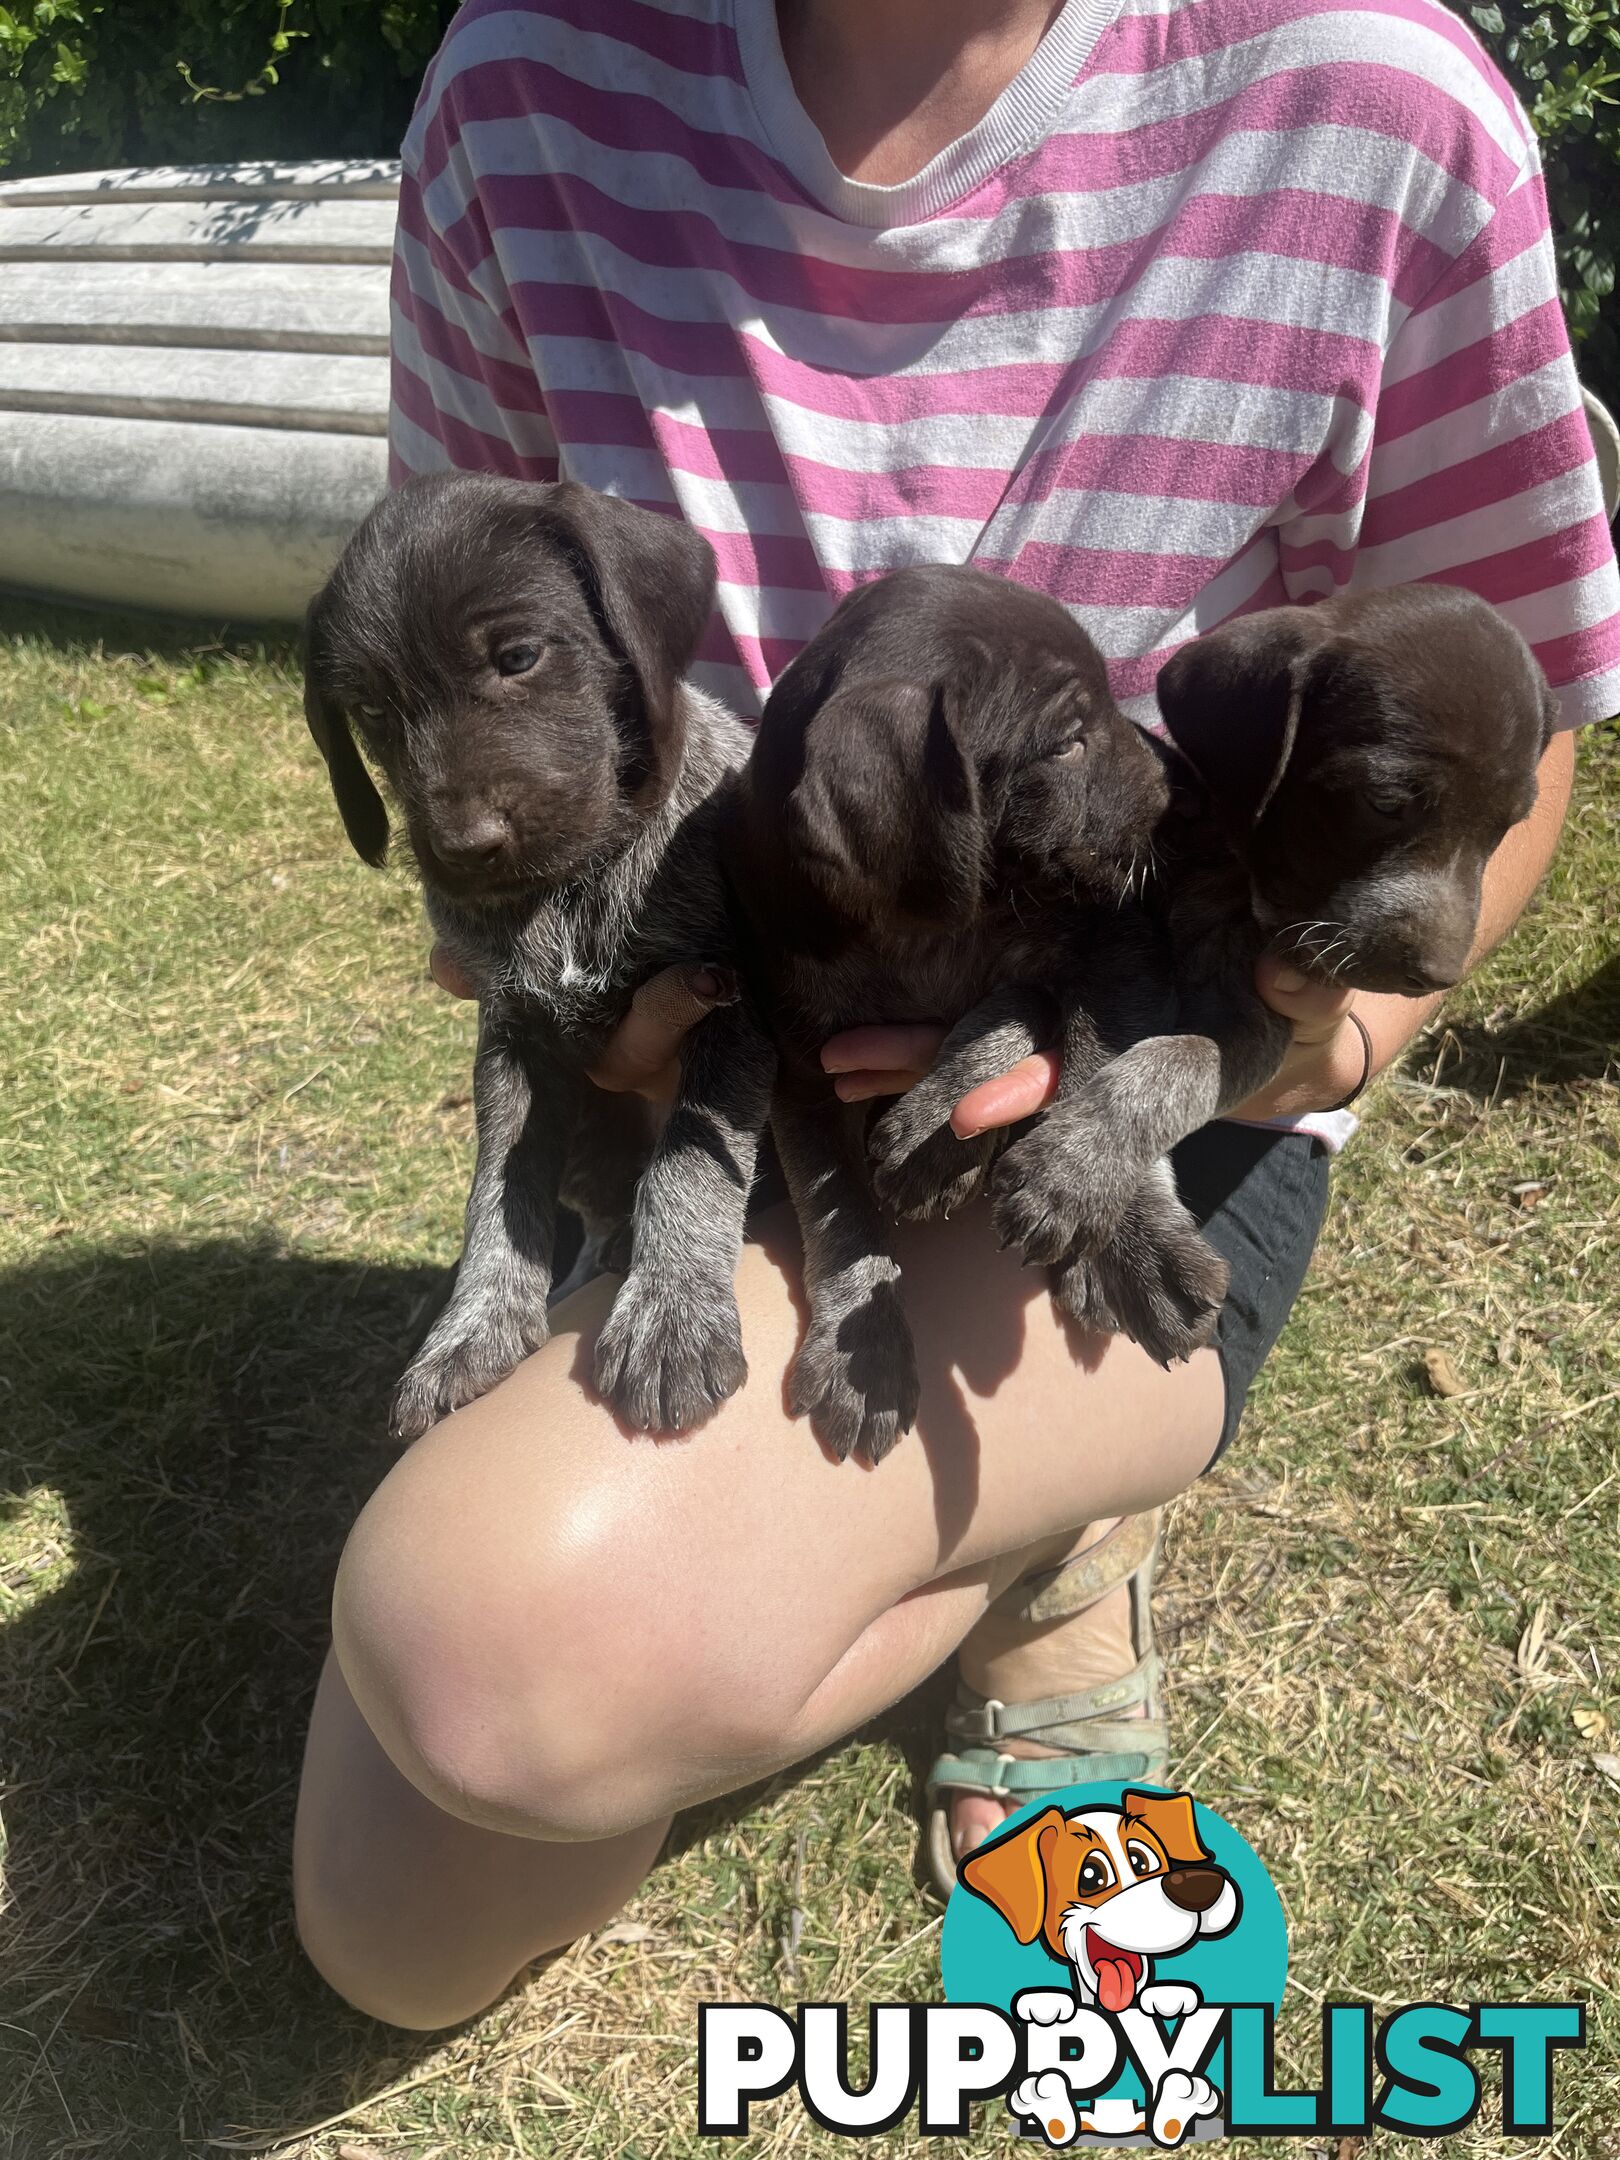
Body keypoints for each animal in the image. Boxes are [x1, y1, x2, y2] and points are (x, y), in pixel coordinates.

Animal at [313, 477, 786, 1451]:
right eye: (370, 711)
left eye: (519, 656)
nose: (463, 849)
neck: (572, 889)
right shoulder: (515, 1042)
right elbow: (497, 1193)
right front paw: (472, 1327)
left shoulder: (728, 1010)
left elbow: (690, 1161)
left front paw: (673, 1315)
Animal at [721, 565, 1226, 1460]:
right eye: (1066, 741)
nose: (1187, 796)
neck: (924, 932)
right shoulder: (802, 1068)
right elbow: (837, 1207)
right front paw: (864, 1342)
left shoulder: (1116, 940)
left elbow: (1089, 1055)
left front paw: (1108, 1213)